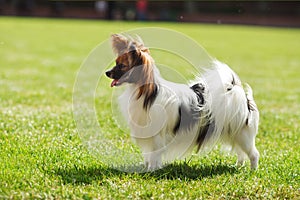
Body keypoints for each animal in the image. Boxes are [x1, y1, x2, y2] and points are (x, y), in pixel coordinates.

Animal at [106, 33, 258, 171]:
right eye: (116, 63)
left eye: (122, 66)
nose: (107, 72)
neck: (146, 92)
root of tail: (241, 96)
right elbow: (149, 155)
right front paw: (147, 168)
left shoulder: (157, 136)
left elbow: (154, 155)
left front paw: (152, 170)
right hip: (234, 134)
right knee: (240, 153)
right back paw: (238, 166)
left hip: (243, 136)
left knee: (253, 154)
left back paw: (253, 171)